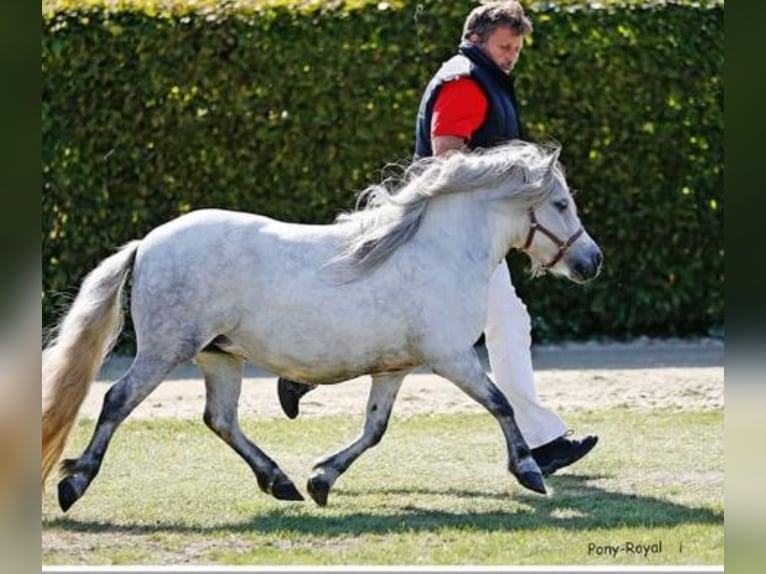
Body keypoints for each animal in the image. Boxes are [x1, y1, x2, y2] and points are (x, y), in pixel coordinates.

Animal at [43, 142, 608, 510]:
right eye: (561, 203)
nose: (592, 261)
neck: (438, 250)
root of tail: (148, 243)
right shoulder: (451, 357)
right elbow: (501, 403)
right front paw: (530, 471)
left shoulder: (395, 369)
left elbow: (374, 429)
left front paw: (321, 480)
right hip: (166, 350)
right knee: (117, 400)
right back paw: (73, 485)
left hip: (219, 355)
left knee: (220, 419)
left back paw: (280, 482)